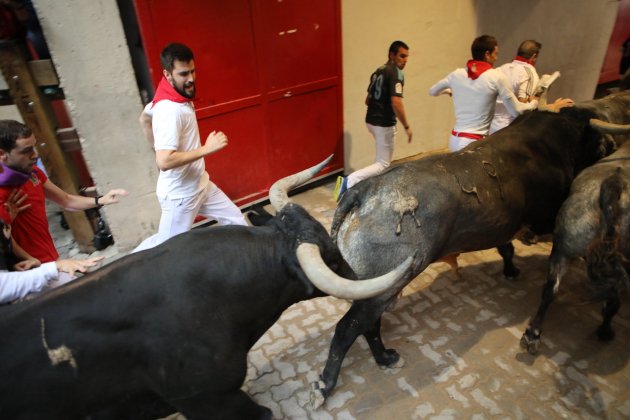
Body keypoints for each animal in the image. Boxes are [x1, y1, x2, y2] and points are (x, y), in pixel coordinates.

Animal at [310, 92, 630, 406]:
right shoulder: (546, 219)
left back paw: (385, 358)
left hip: (374, 289)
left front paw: (511, 269)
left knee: (369, 326)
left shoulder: (502, 223)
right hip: (383, 288)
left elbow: (506, 248)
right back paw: (326, 384)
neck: (556, 140)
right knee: (349, 328)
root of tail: (361, 192)